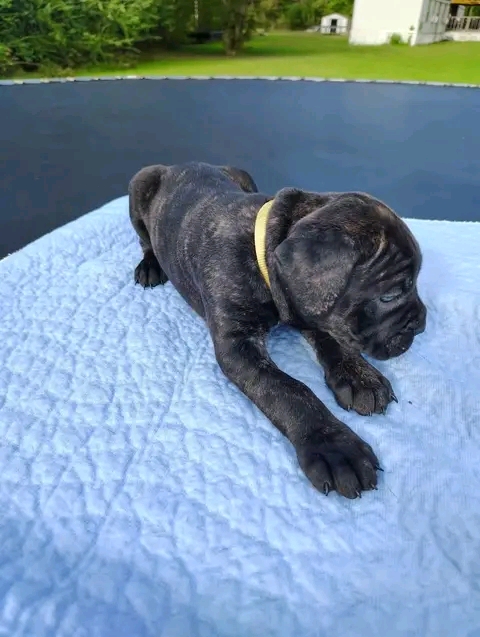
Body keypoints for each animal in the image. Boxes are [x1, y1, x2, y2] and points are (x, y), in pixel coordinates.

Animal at [128, 161, 426, 499]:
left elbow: (334, 340)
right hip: (140, 183)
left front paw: (359, 377)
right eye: (390, 296)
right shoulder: (238, 346)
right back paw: (150, 265)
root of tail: (178, 164)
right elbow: (288, 390)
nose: (421, 326)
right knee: (144, 240)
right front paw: (334, 446)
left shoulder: (309, 311)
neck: (261, 249)